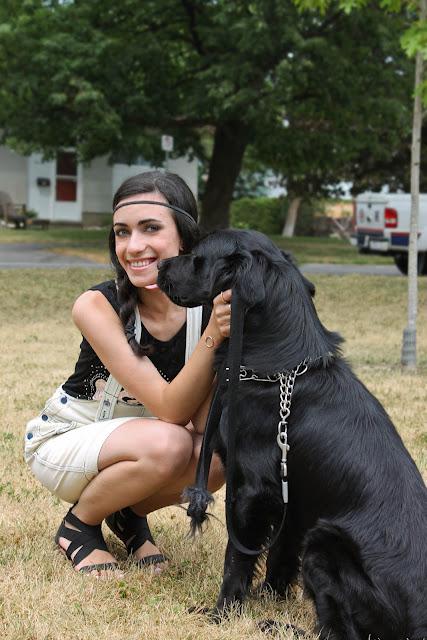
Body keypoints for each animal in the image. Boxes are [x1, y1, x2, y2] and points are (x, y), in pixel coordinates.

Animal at [157, 230, 427, 640]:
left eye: (197, 256)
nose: (158, 265)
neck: (279, 369)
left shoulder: (251, 491)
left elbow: (236, 559)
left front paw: (221, 614)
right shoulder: (289, 495)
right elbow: (279, 554)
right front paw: (268, 596)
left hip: (324, 545)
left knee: (338, 632)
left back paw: (277, 626)